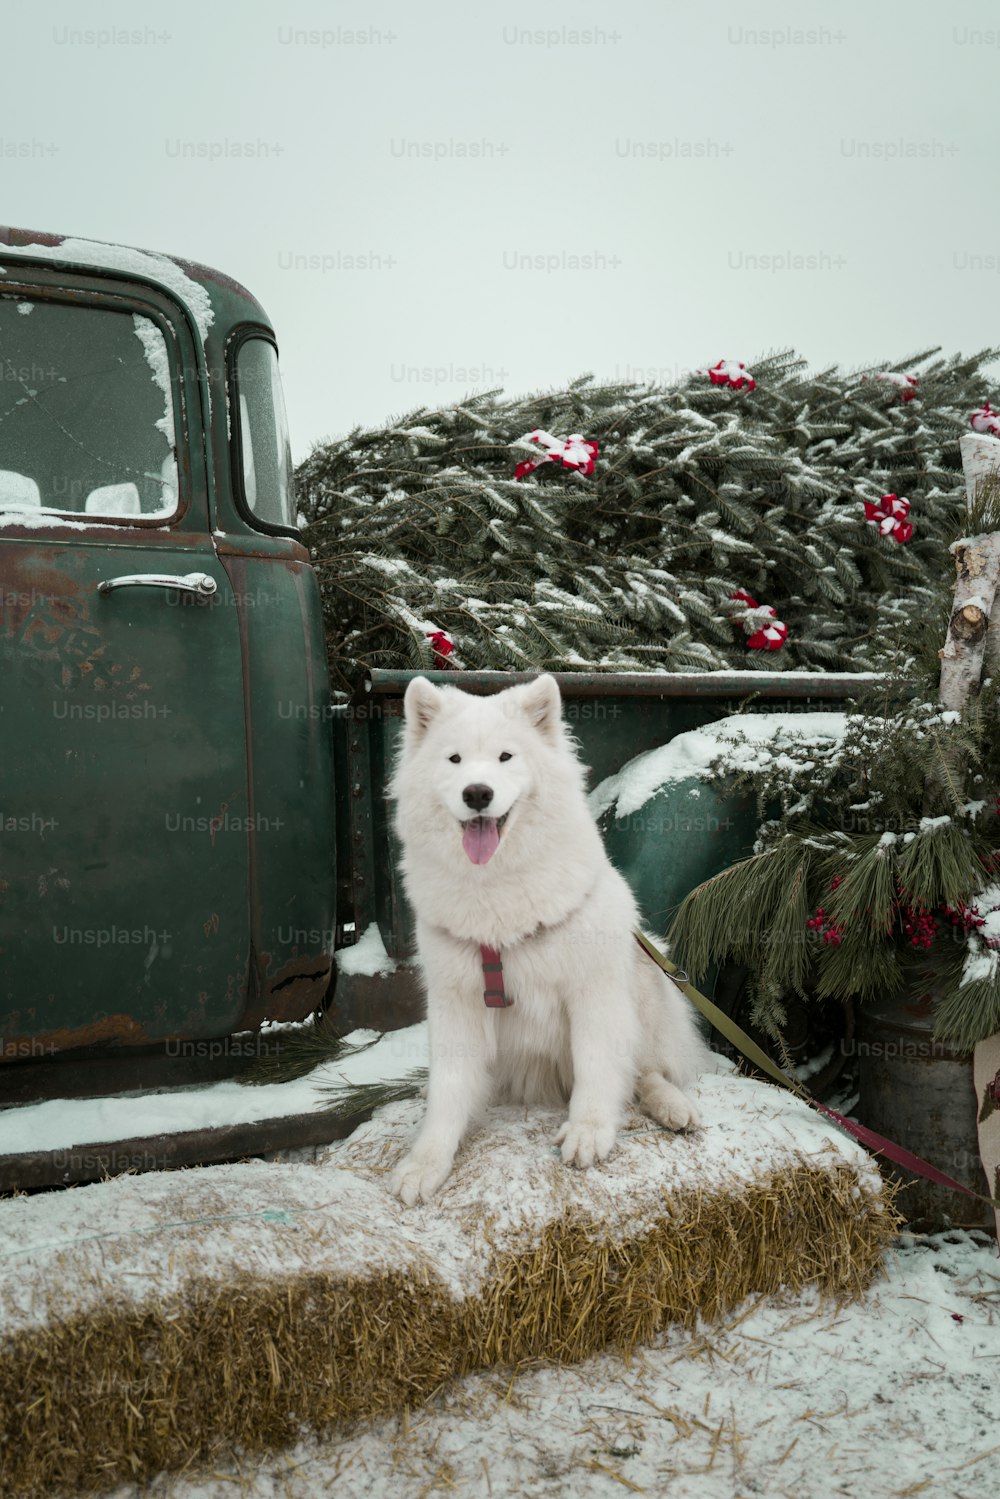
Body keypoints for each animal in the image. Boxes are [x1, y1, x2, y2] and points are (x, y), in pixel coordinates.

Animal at [389, 671, 710, 1205]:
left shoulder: (593, 988)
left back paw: (673, 1106)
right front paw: (425, 1162)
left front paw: (588, 1132)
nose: (477, 793)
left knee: (646, 1071)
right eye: (454, 759)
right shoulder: (456, 1000)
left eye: (506, 757)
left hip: (647, 977)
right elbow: (450, 1090)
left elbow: (598, 1067)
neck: (498, 898)